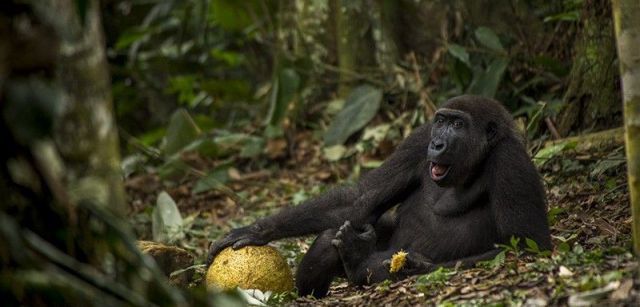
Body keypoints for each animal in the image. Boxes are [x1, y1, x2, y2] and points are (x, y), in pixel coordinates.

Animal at [206, 95, 552, 298]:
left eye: (458, 124)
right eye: (440, 121)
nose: (438, 144)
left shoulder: (510, 161)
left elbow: (526, 245)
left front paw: (415, 266)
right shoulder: (418, 139)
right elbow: (361, 199)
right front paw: (258, 230)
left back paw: (359, 262)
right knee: (334, 232)